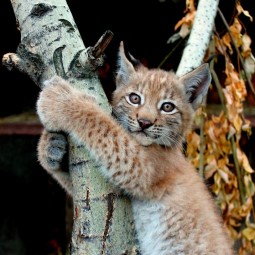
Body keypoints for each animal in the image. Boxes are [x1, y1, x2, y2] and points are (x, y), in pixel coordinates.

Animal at [36, 40, 235, 254]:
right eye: (135, 98)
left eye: (167, 107)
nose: (144, 122)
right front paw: (51, 148)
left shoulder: (143, 167)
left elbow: (102, 126)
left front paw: (61, 101)